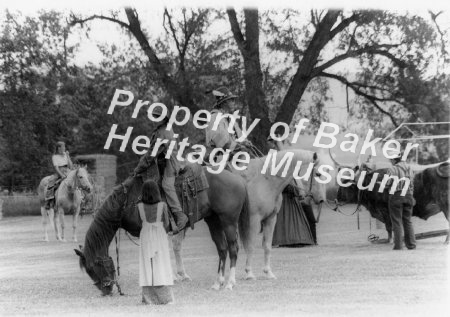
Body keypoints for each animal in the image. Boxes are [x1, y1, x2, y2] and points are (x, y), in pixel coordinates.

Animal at [75, 165, 248, 294]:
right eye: (88, 271)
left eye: (94, 267)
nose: (106, 290)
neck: (128, 202)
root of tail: (238, 179)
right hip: (214, 221)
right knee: (222, 249)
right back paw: (217, 283)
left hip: (229, 221)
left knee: (233, 249)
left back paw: (230, 283)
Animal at [237, 148, 326, 278]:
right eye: (318, 174)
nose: (321, 199)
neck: (264, 181)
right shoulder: (253, 220)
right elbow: (250, 245)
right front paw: (249, 273)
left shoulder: (270, 219)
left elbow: (267, 246)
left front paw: (268, 272)